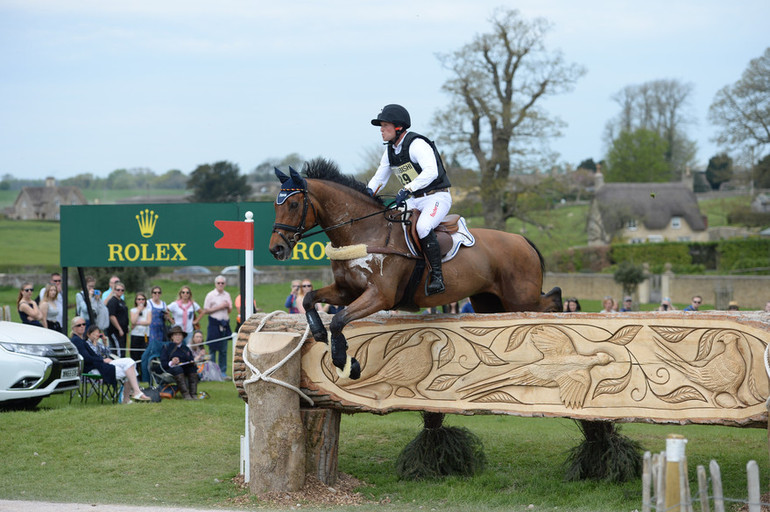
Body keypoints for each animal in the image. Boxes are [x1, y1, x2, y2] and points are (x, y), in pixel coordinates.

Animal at [268, 160, 560, 380]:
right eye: (275, 205)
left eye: (293, 204)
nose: (276, 249)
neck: (364, 233)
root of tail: (522, 240)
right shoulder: (345, 292)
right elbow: (309, 299)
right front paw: (318, 332)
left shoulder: (380, 296)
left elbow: (339, 320)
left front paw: (345, 361)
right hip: (487, 302)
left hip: (519, 299)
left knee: (549, 301)